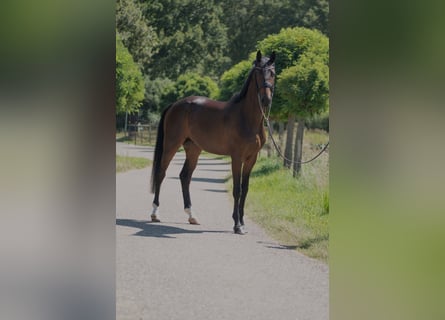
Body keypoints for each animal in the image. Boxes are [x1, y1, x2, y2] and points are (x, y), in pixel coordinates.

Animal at [149, 50, 274, 235]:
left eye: (272, 73)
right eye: (258, 72)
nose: (266, 100)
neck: (246, 118)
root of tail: (175, 105)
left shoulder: (251, 158)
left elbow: (245, 189)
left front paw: (242, 223)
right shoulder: (236, 157)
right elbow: (237, 190)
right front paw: (237, 225)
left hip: (193, 149)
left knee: (185, 176)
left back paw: (192, 216)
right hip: (171, 145)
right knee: (161, 173)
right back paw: (155, 213)